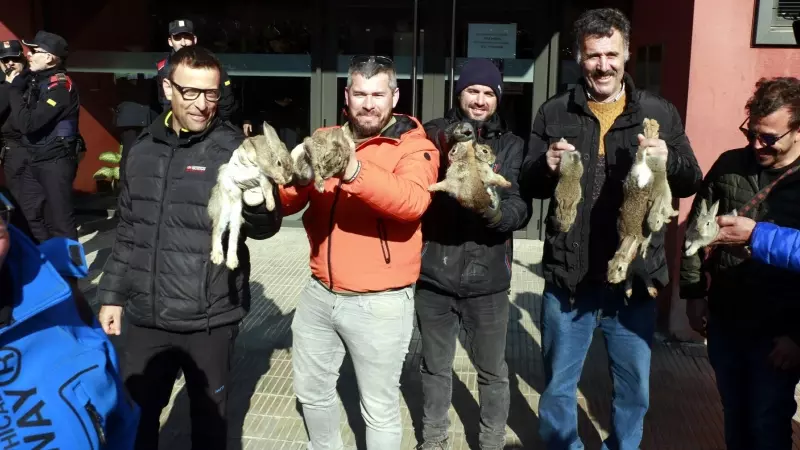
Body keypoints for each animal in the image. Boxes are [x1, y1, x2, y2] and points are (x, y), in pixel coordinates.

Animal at [608, 118, 660, 298]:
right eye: (608, 264)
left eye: (619, 268)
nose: (609, 280)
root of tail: (640, 165)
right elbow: (629, 282)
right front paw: (629, 293)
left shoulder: (640, 270)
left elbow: (645, 279)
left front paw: (652, 292)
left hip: (647, 183)